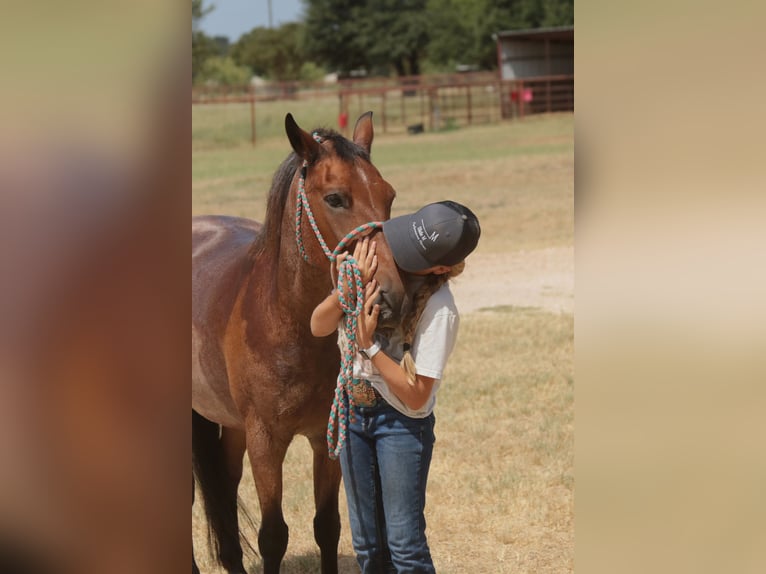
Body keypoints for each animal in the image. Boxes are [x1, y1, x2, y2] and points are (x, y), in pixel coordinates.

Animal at [192, 112, 408, 574]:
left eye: (389, 195)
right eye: (336, 198)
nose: (390, 297)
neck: (288, 323)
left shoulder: (326, 436)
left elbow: (327, 524)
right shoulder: (265, 441)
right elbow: (273, 535)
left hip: (231, 425)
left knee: (223, 488)